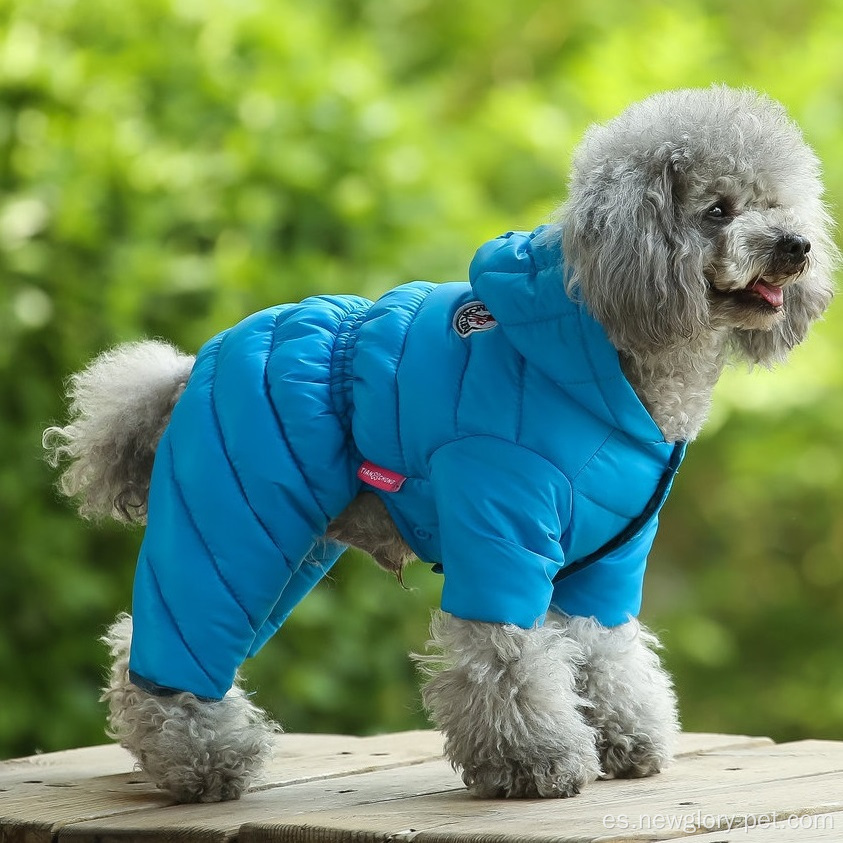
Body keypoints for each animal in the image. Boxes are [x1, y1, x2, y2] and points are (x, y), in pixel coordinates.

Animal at [44, 87, 836, 804]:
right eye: (717, 210)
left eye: (779, 204)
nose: (795, 246)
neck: (607, 348)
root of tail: (186, 369)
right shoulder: (499, 526)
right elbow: (508, 659)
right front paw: (536, 761)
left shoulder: (607, 559)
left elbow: (607, 651)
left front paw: (624, 738)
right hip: (235, 513)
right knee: (178, 635)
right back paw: (204, 762)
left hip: (285, 537)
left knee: (145, 640)